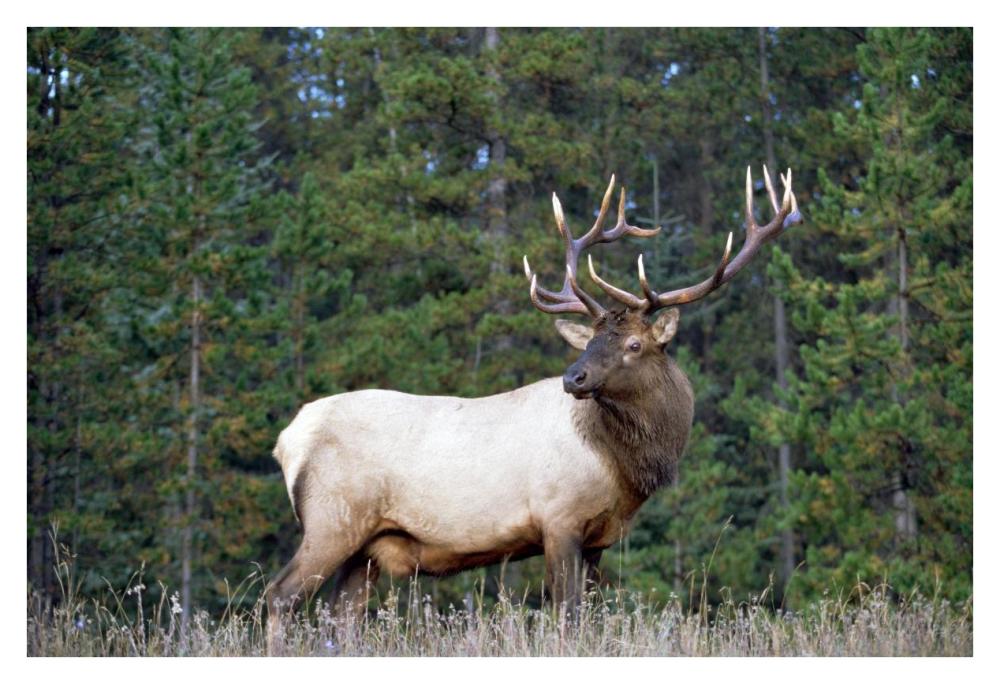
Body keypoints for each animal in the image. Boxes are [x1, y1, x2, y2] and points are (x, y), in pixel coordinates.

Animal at [265, 166, 801, 651]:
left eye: (633, 344)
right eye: (592, 341)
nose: (573, 378)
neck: (620, 467)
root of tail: (288, 440)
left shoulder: (598, 539)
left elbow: (587, 617)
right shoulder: (558, 518)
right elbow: (566, 617)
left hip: (367, 546)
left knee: (342, 618)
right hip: (332, 518)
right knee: (279, 596)